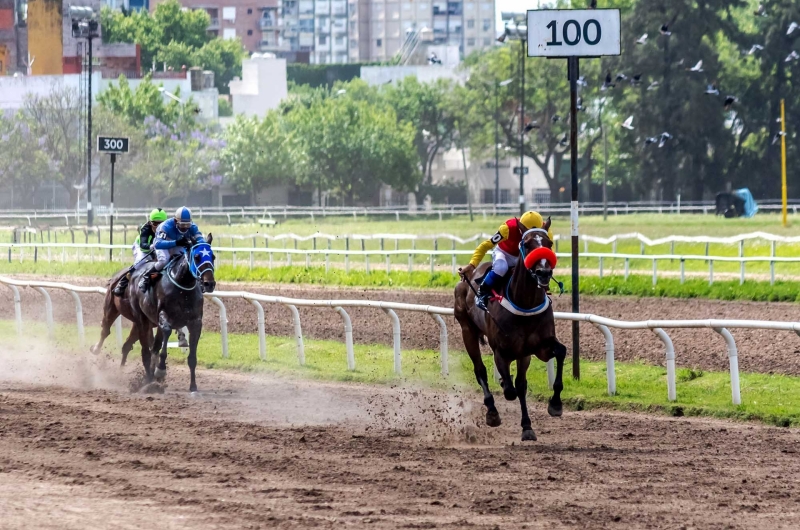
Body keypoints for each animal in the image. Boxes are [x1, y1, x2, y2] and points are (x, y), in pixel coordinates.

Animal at [456, 217, 568, 440]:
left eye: (549, 243)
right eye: (527, 244)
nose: (544, 272)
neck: (524, 302)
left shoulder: (538, 347)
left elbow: (560, 352)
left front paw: (555, 405)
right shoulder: (502, 351)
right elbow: (509, 389)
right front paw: (501, 388)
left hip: (523, 354)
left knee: (520, 383)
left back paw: (527, 426)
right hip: (467, 331)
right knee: (480, 370)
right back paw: (492, 412)